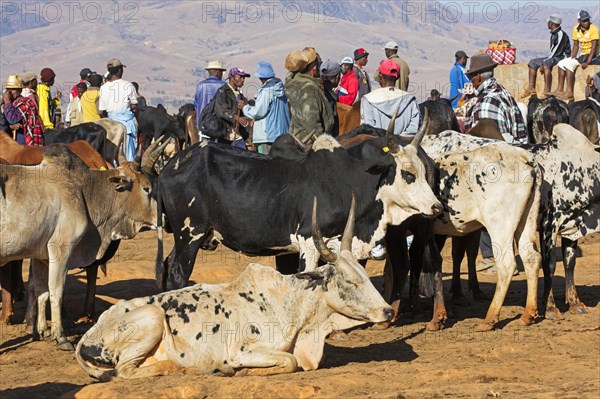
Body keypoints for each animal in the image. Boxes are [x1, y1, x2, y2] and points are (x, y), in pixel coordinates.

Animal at [0, 141, 166, 350]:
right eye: (146, 188)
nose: (162, 218)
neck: (85, 191)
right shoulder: (61, 251)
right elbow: (56, 292)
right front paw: (60, 337)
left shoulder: (40, 256)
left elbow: (41, 291)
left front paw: (42, 332)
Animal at [75, 199, 394, 382]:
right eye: (349, 281)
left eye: (365, 275)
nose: (388, 311)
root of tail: (87, 336)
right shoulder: (242, 350)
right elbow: (289, 362)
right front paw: (236, 370)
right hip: (152, 317)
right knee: (123, 372)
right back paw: (188, 369)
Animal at [157, 114, 442, 292]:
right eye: (407, 173)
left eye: (423, 171)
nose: (437, 207)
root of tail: (171, 165)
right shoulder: (308, 241)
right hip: (190, 234)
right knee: (177, 274)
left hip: (186, 238)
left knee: (167, 267)